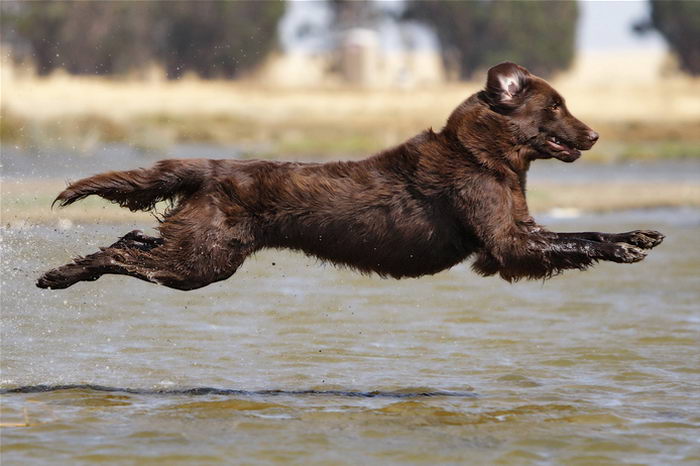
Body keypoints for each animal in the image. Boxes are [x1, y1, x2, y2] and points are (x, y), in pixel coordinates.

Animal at [35, 61, 664, 288]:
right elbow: (576, 239)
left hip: (203, 249)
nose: (594, 136)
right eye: (555, 106)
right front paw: (626, 245)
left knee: (130, 241)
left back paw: (68, 270)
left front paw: (638, 234)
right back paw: (59, 276)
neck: (484, 154)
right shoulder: (505, 244)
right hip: (203, 261)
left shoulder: (517, 237)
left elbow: (575, 233)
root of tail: (210, 165)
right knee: (124, 255)